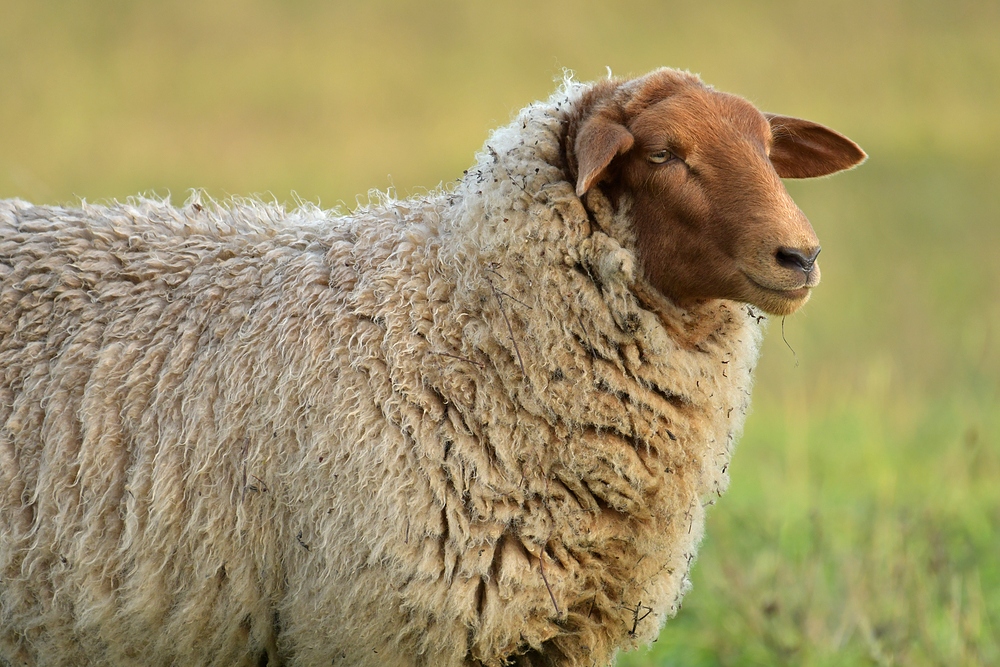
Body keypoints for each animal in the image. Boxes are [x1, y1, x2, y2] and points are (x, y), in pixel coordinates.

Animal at [0, 69, 860, 667]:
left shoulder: (557, 633)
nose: (802, 255)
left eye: (767, 149)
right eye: (662, 153)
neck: (457, 320)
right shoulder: (378, 623)